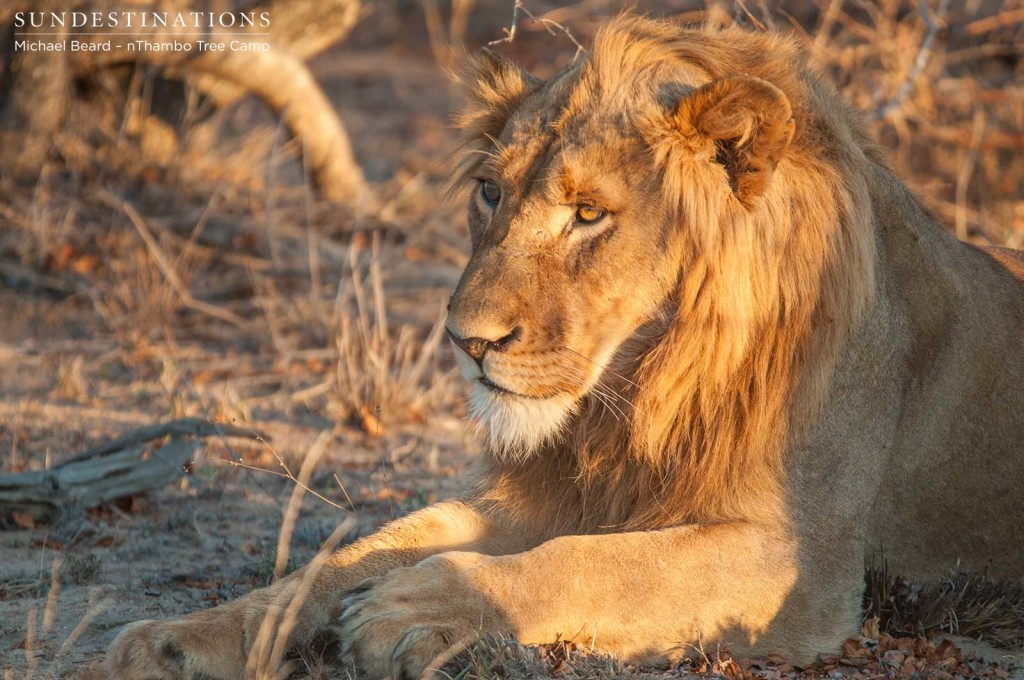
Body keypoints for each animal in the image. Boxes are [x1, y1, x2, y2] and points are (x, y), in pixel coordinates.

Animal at [105, 14, 1024, 680]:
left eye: (588, 214)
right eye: (489, 192)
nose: (466, 341)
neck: (642, 389)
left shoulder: (801, 561)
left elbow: (591, 567)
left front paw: (407, 610)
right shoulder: (539, 498)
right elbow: (353, 551)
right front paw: (180, 637)